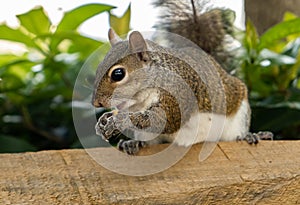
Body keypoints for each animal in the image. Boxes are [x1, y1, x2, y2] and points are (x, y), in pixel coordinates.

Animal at [91, 0, 272, 155]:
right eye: (98, 68)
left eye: (118, 74)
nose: (96, 103)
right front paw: (104, 121)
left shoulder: (179, 93)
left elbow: (164, 120)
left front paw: (117, 121)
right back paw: (133, 143)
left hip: (238, 115)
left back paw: (250, 136)